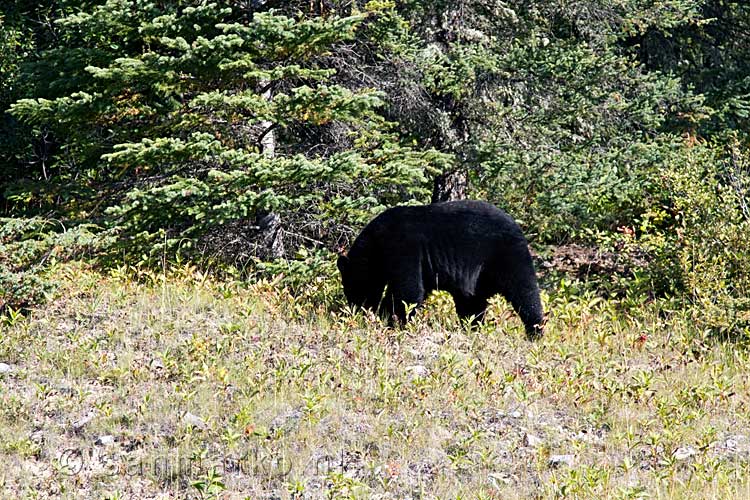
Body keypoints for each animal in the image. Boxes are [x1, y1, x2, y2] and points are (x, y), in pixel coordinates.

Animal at [336, 201, 548, 338]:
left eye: (350, 289)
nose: (356, 310)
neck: (375, 244)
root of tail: (517, 226)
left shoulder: (402, 248)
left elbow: (408, 292)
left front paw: (393, 322)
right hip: (480, 276)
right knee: (472, 302)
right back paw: (471, 329)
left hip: (505, 254)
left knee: (524, 290)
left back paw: (535, 331)